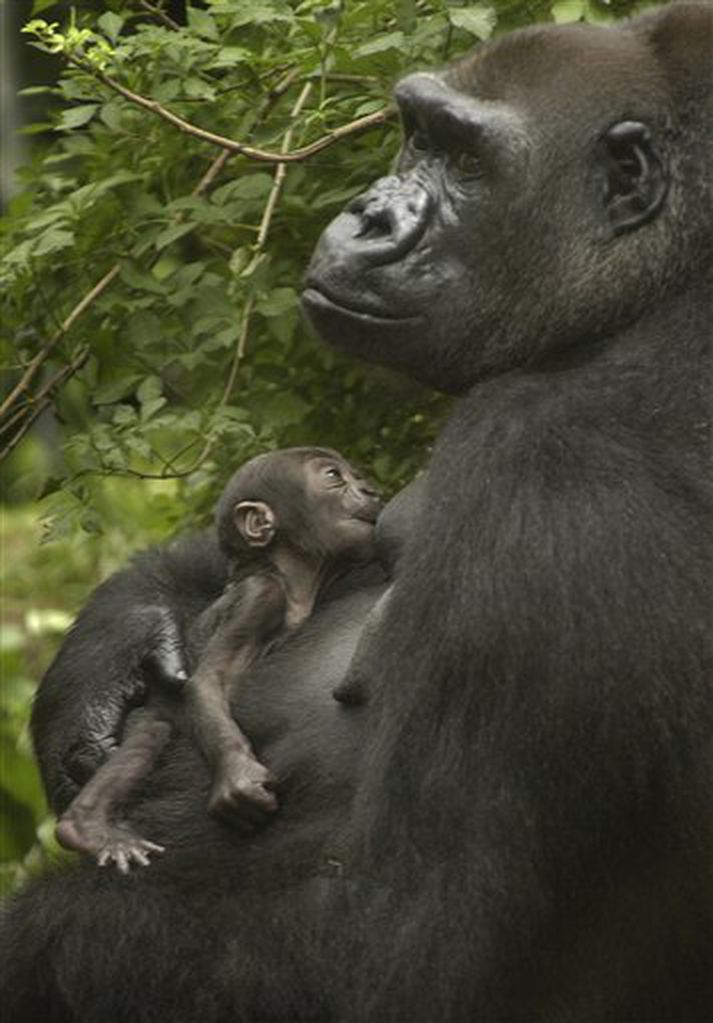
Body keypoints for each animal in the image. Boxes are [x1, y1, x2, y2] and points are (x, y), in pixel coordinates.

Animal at [52, 448, 380, 871]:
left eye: (357, 475)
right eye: (333, 477)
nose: (370, 490)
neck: (291, 573)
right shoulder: (260, 597)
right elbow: (209, 678)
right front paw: (238, 778)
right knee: (150, 733)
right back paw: (85, 826)